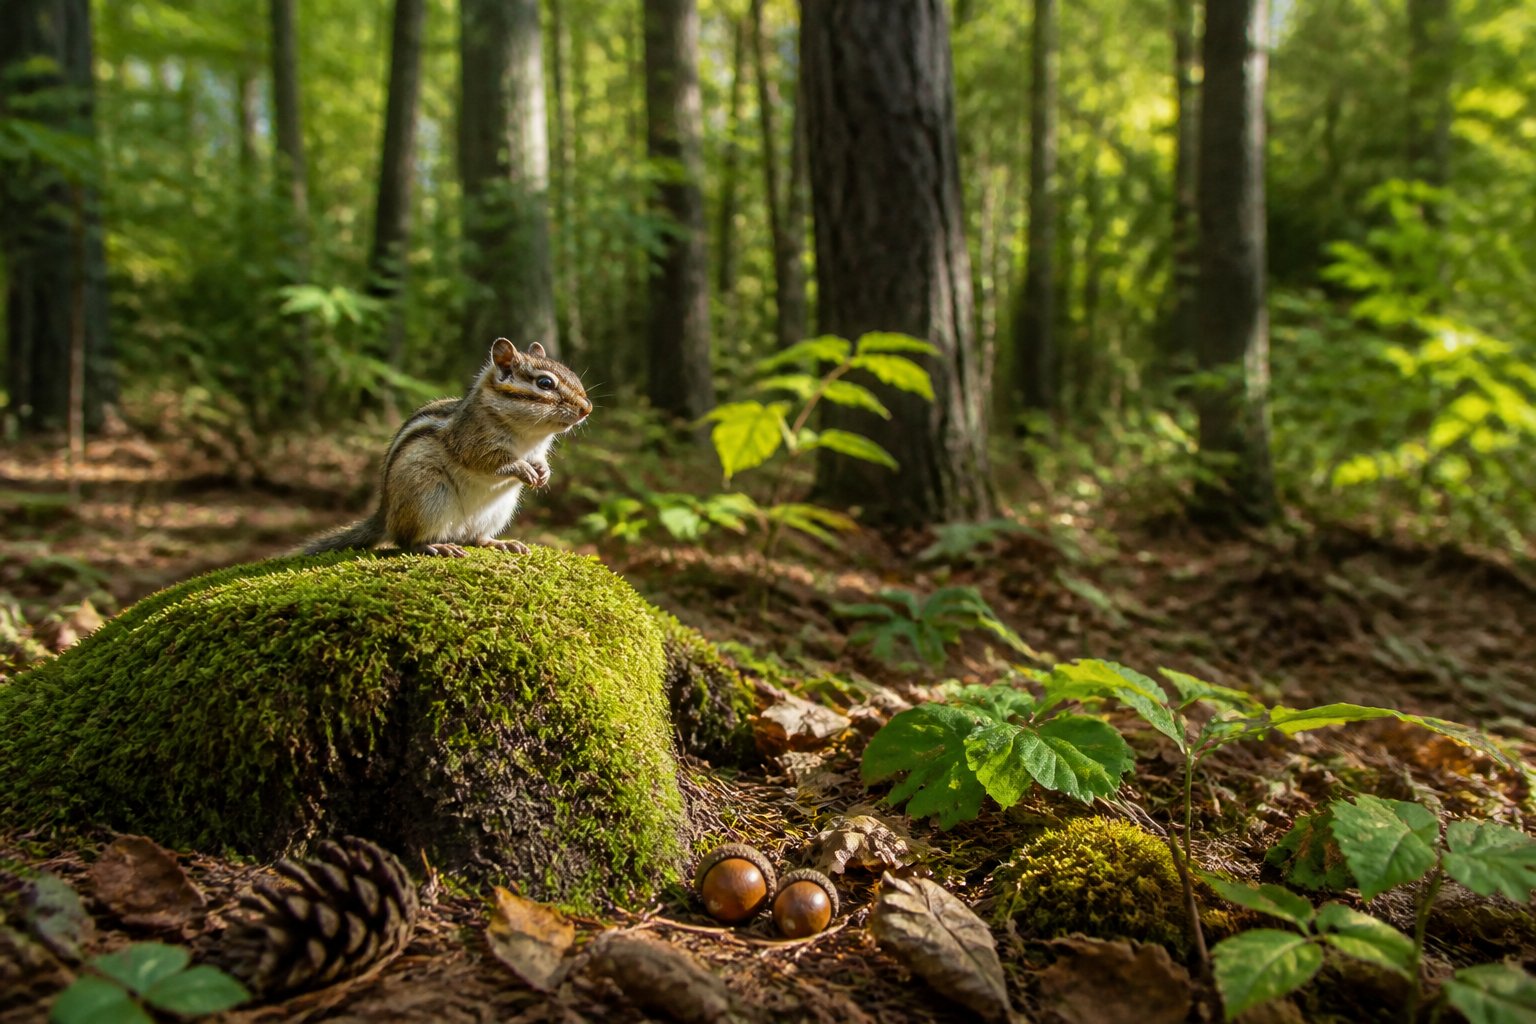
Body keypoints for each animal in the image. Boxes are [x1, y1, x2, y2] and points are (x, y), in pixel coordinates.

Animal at [302, 337, 591, 557]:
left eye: (573, 375)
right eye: (545, 383)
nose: (587, 409)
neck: (530, 434)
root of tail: (385, 514)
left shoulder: (537, 450)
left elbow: (539, 460)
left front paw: (543, 473)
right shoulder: (471, 441)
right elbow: (490, 462)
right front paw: (523, 469)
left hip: (497, 512)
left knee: (476, 539)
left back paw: (501, 542)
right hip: (427, 497)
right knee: (405, 540)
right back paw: (435, 546)